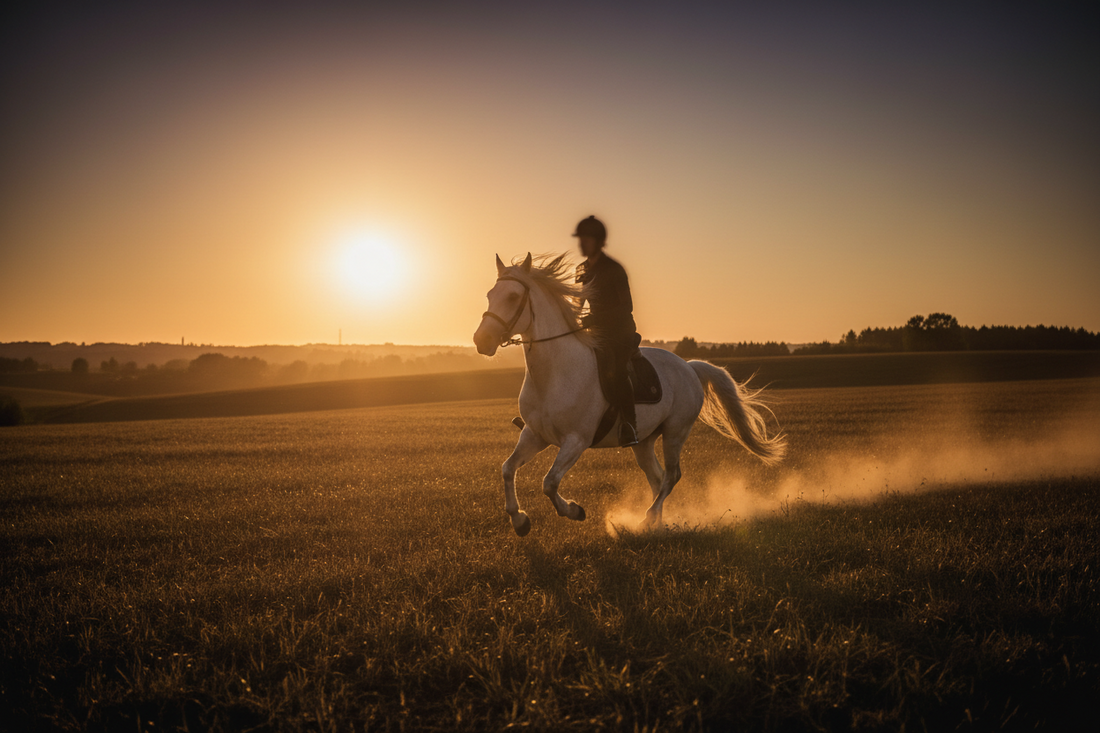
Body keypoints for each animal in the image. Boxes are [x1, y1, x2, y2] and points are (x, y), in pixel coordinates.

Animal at [473, 252, 786, 535]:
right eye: (489, 295)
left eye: (513, 297)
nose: (481, 341)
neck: (554, 373)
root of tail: (689, 366)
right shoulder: (535, 435)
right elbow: (507, 468)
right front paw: (520, 521)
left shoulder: (576, 440)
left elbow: (549, 483)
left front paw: (574, 510)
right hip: (643, 441)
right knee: (657, 477)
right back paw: (655, 523)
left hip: (676, 431)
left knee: (672, 475)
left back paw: (646, 519)